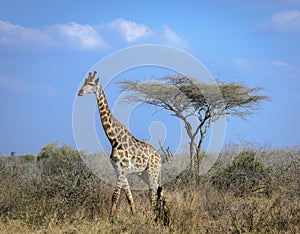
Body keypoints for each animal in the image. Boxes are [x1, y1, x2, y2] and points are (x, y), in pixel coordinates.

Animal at [77, 71, 162, 216]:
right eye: (84, 83)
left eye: (91, 84)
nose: (80, 92)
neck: (113, 140)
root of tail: (159, 157)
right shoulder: (119, 171)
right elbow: (128, 196)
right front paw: (133, 215)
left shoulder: (122, 170)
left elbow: (115, 195)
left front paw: (111, 218)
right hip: (143, 173)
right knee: (157, 190)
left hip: (153, 171)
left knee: (153, 192)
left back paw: (154, 215)